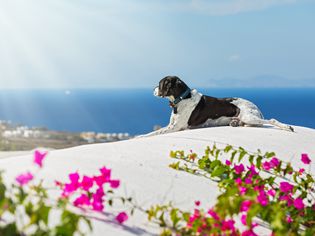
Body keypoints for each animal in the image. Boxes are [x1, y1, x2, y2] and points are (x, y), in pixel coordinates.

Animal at [141, 75, 294, 137]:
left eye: (160, 83)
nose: (152, 89)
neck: (182, 98)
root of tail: (256, 107)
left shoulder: (176, 127)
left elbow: (154, 133)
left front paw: (140, 137)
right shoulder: (171, 125)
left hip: (249, 116)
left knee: (271, 120)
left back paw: (287, 127)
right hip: (247, 119)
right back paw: (235, 123)